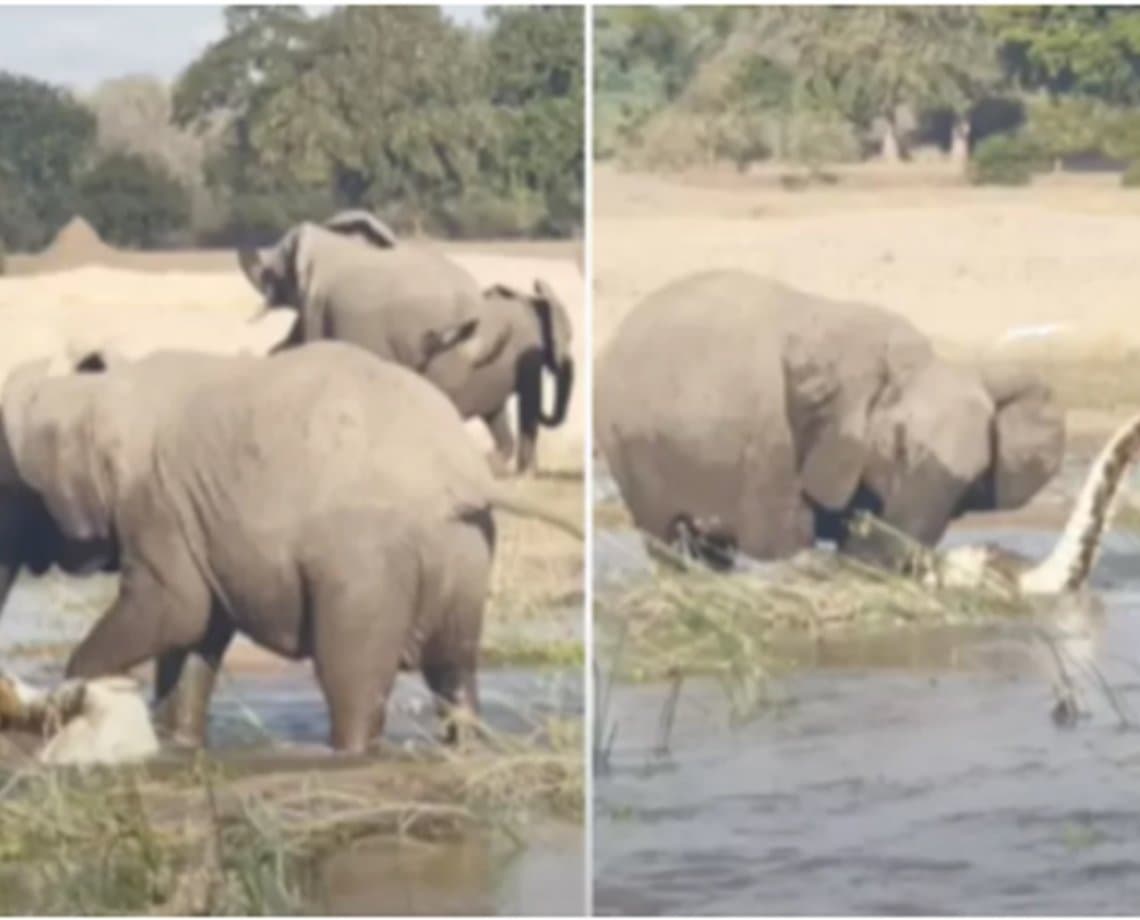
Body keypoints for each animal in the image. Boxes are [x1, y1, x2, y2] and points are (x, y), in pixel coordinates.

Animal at [2, 342, 579, 752]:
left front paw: (69, 698)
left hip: (366, 567)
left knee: (352, 684)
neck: (90, 396)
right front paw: (177, 744)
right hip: (462, 553)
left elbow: (177, 609)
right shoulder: (194, 520)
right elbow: (197, 633)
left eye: (16, 492)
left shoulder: (155, 503)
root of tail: (462, 474)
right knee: (455, 675)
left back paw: (348, 752)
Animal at [597, 267, 1067, 567]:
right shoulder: (775, 442)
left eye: (976, 478)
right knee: (665, 540)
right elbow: (779, 545)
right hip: (628, 445)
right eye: (898, 445)